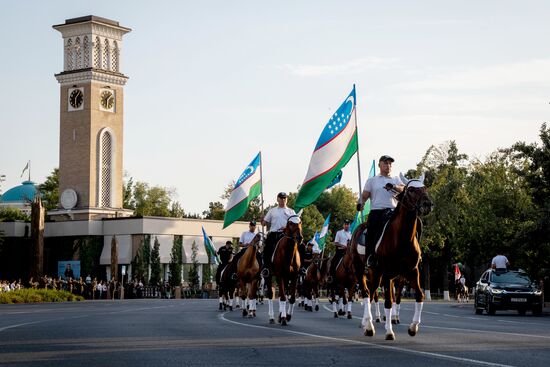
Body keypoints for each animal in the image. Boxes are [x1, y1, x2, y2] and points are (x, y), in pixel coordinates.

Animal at [364, 174, 434, 340]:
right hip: (376, 275)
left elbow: (419, 296)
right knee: (370, 295)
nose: (427, 204)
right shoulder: (387, 273)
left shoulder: (412, 272)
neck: (402, 239)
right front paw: (389, 332)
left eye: (425, 188)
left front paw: (413, 327)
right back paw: (368, 326)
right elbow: (388, 302)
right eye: (411, 190)